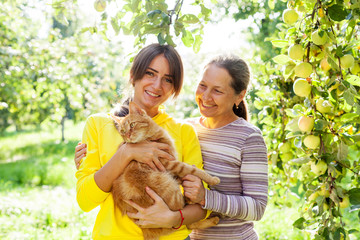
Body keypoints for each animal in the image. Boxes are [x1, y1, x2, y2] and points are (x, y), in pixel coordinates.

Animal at [111, 101, 221, 240]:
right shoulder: (168, 163)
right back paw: (211, 217)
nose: (128, 136)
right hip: (169, 188)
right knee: (185, 221)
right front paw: (212, 179)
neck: (150, 137)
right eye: (123, 131)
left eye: (132, 125)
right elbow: (191, 170)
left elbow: (183, 176)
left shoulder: (170, 166)